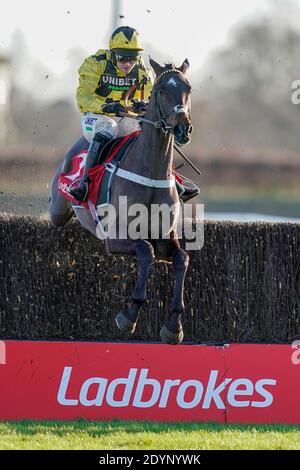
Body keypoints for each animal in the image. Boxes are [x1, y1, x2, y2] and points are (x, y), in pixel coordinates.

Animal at [49, 58, 192, 346]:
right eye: (161, 90)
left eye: (188, 88)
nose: (183, 128)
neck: (150, 171)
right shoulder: (114, 237)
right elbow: (145, 251)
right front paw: (129, 315)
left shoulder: (165, 238)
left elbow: (181, 258)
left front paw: (174, 325)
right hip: (58, 207)